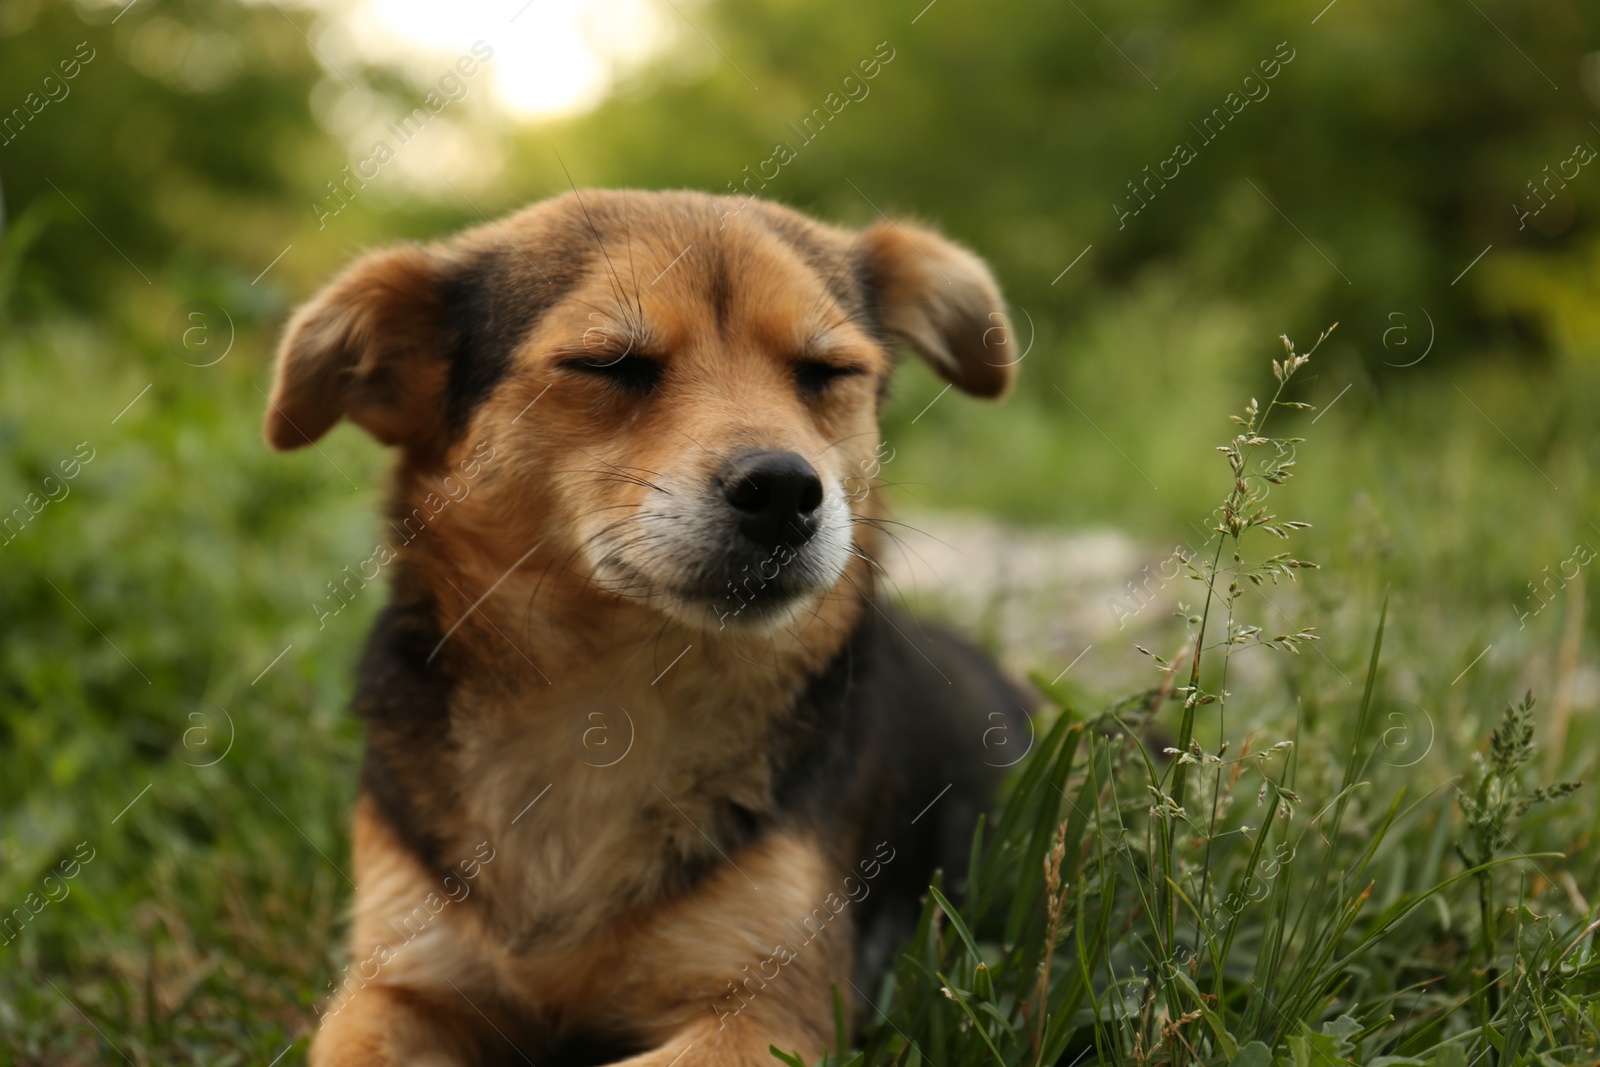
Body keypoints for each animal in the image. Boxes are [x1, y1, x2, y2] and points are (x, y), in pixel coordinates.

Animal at [262, 191, 1030, 1067]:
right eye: (610, 363)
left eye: (826, 372)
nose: (783, 489)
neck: (607, 708)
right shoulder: (396, 979)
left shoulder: (768, 1006)